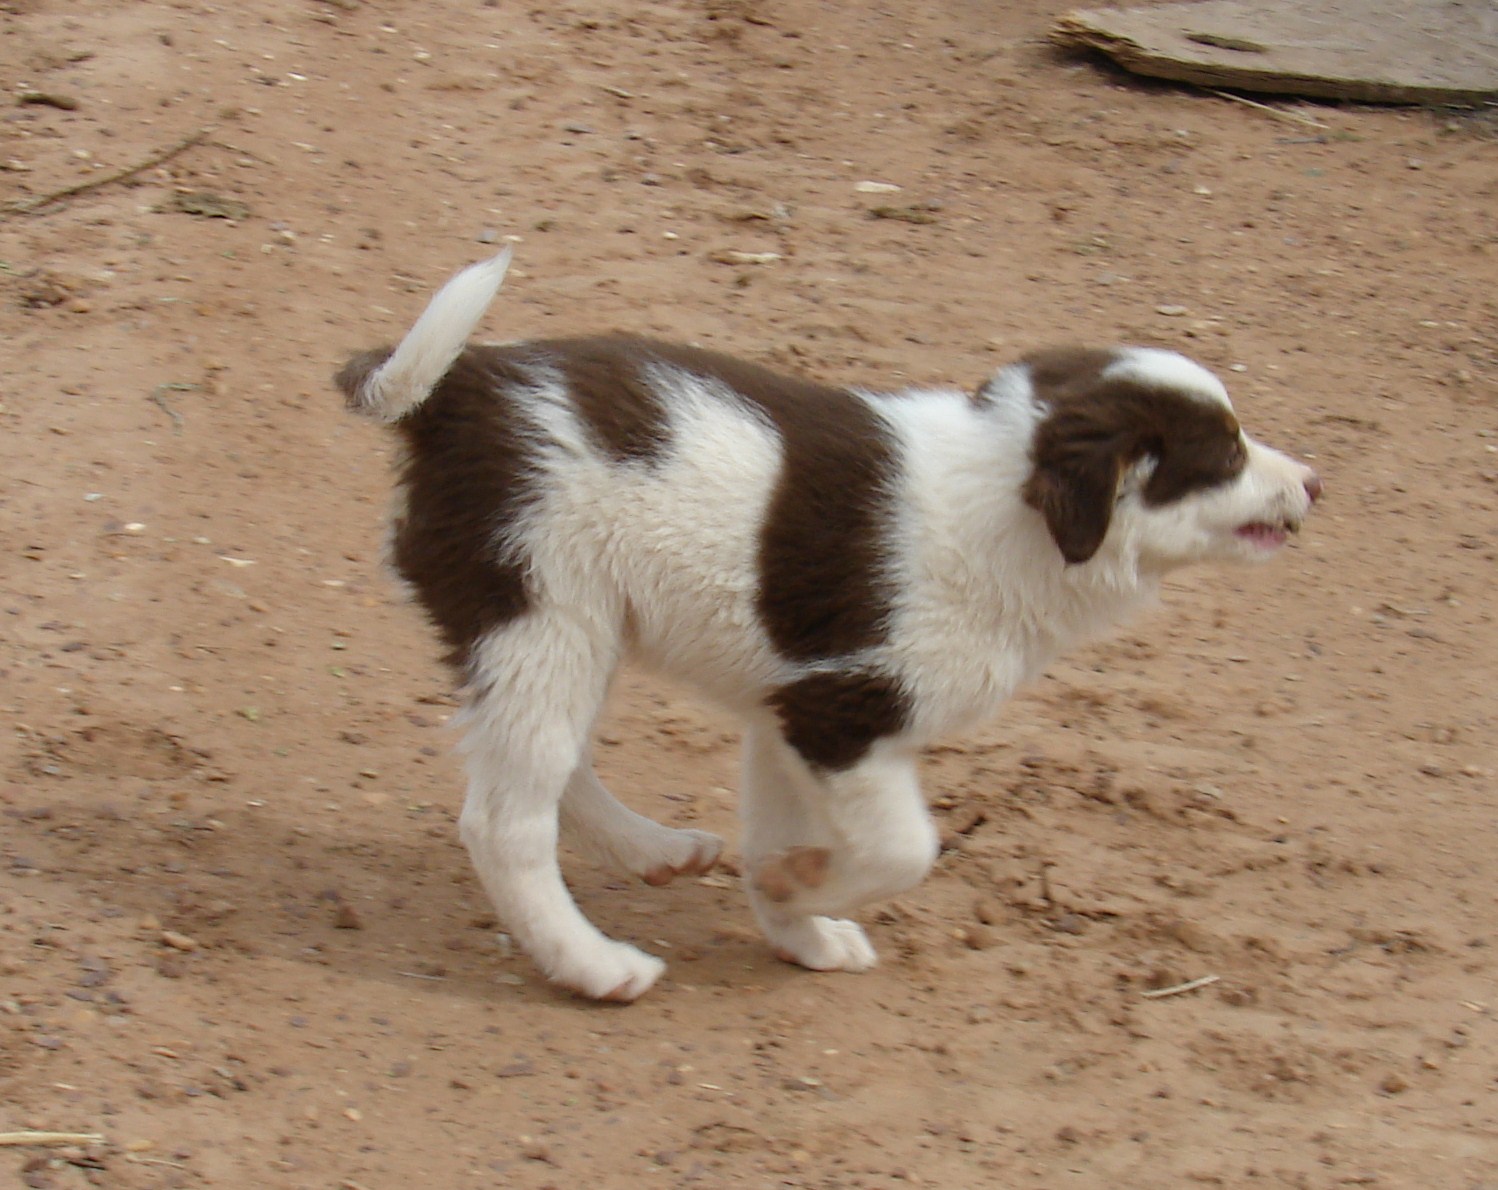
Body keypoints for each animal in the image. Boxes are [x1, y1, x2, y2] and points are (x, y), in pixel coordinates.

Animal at [334, 250, 1318, 1001]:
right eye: (1226, 456)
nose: (1315, 482)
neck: (1008, 503)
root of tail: (456, 391)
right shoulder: (841, 711)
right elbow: (905, 847)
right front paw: (797, 887)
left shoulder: (783, 713)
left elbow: (782, 833)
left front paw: (795, 926)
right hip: (540, 612)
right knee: (505, 820)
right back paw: (595, 965)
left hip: (564, 629)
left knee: (551, 765)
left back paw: (654, 851)